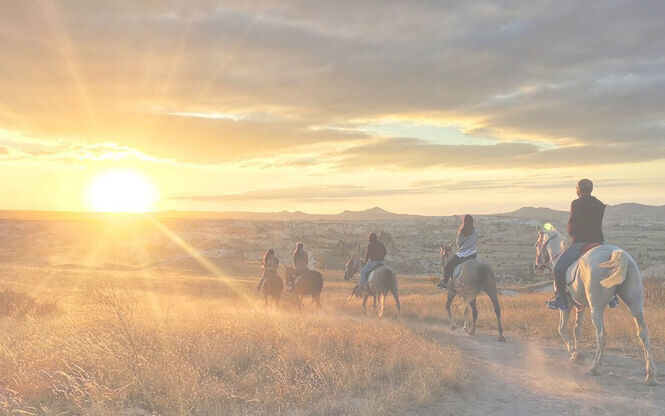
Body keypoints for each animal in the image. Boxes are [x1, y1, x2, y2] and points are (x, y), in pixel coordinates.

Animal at [532, 226, 656, 386]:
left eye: (537, 244)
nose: (537, 266)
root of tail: (617, 253)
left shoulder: (567, 305)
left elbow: (562, 329)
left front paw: (574, 353)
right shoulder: (580, 306)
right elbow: (577, 330)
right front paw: (578, 354)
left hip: (596, 308)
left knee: (601, 335)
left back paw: (594, 367)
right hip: (635, 303)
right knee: (643, 332)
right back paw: (650, 374)